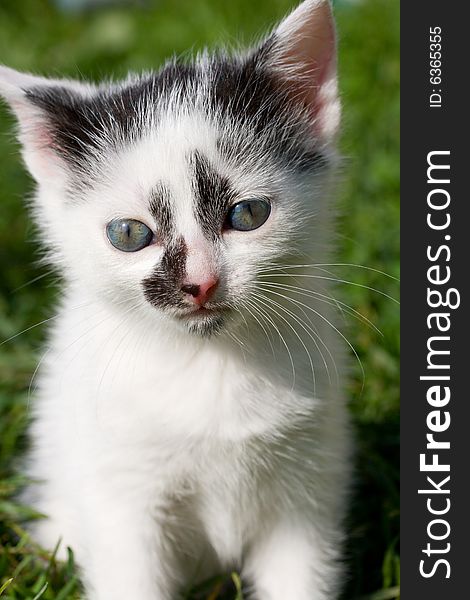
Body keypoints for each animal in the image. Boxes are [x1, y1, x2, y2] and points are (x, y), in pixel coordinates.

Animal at [0, 1, 352, 600]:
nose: (200, 283)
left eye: (248, 215)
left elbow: (300, 576)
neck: (211, 364)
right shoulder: (121, 492)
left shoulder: (307, 486)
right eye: (129, 234)